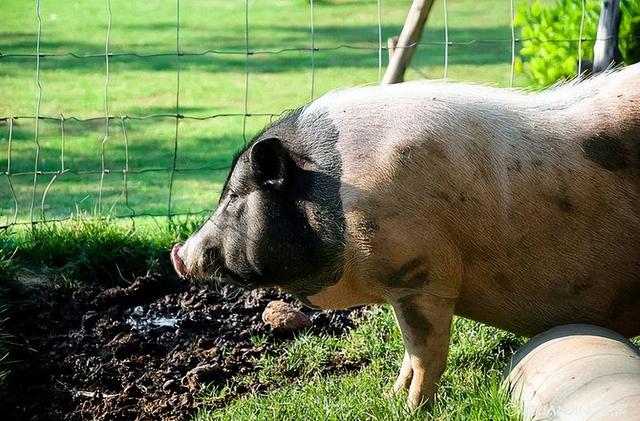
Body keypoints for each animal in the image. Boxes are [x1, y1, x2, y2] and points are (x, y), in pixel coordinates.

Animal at [172, 64, 640, 408]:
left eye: (235, 196)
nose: (179, 253)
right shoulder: (403, 287)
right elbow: (408, 352)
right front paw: (390, 396)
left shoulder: (422, 279)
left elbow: (425, 351)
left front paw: (410, 409)